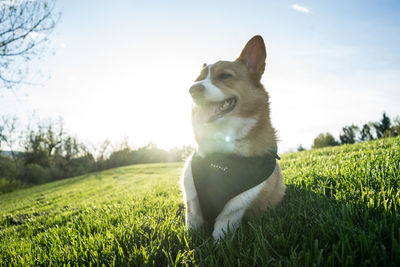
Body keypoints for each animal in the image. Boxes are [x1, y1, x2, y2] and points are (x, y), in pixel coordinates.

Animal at [180, 35, 286, 241]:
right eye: (198, 79)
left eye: (224, 76)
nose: (191, 89)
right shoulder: (192, 200)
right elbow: (192, 227)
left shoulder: (236, 206)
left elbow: (220, 232)